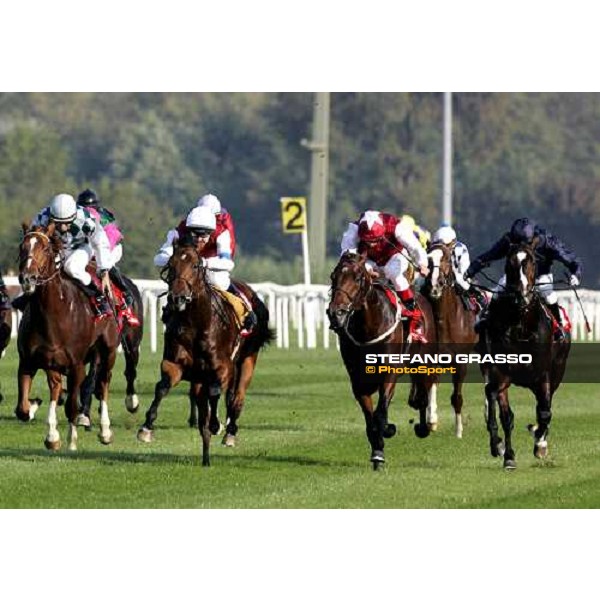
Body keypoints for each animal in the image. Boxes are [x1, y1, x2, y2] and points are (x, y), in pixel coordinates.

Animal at [15, 225, 120, 450]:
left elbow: (72, 405)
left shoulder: (76, 364)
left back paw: (105, 431)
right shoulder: (29, 361)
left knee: (103, 384)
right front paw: (50, 433)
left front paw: (71, 440)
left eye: (45, 249)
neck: (53, 315)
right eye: (22, 247)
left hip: (108, 351)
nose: (27, 278)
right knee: (56, 389)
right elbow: (22, 408)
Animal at [137, 241, 270, 466]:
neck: (197, 323)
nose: (178, 297)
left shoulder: (223, 367)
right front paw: (146, 427)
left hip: (247, 359)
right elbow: (162, 387)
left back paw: (230, 432)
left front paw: (217, 424)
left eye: (196, 266)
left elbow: (216, 393)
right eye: (171, 265)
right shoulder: (174, 364)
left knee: (237, 397)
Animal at [422, 241, 478, 438]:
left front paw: (458, 431)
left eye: (447, 258)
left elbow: (457, 397)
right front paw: (431, 420)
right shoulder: (432, 357)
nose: (435, 285)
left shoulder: (460, 361)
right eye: (428, 259)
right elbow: (431, 384)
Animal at [478, 243, 572, 468]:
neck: (521, 326)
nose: (522, 295)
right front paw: (506, 453)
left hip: (557, 371)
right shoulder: (501, 373)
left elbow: (545, 412)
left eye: (533, 262)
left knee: (545, 407)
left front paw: (539, 444)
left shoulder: (543, 374)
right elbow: (503, 413)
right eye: (509, 262)